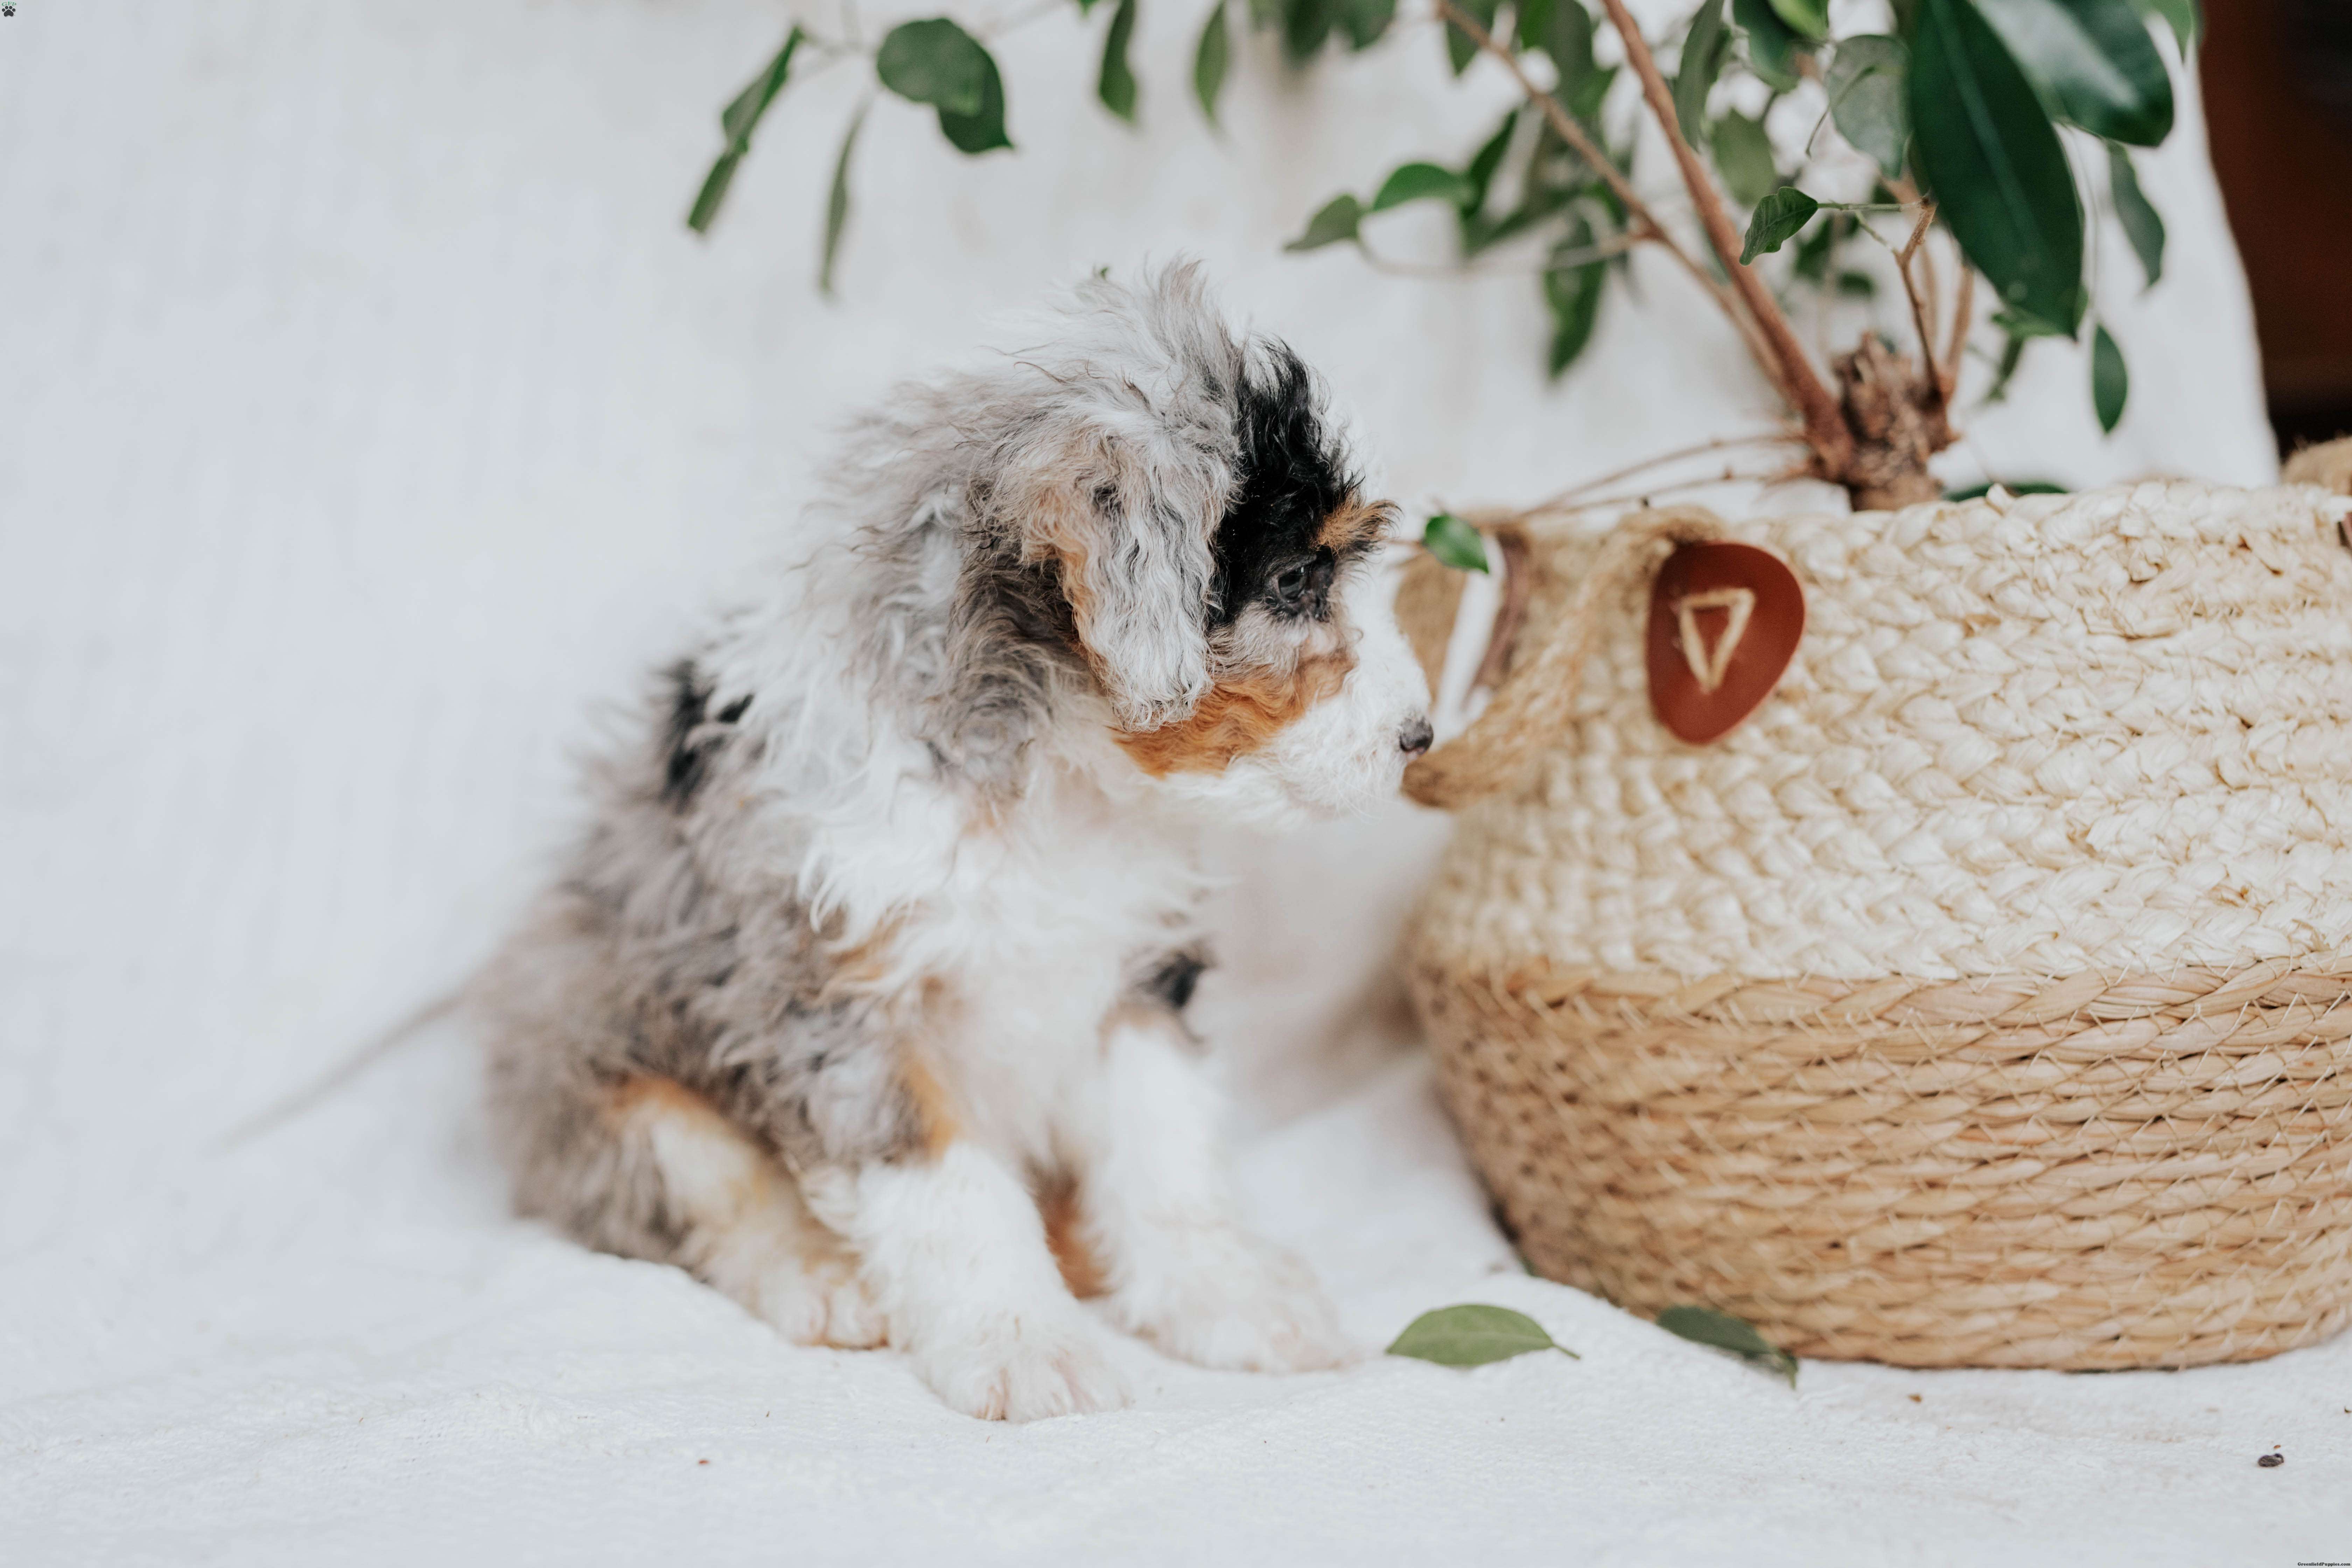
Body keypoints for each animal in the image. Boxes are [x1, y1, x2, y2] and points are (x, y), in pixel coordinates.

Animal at [475, 264, 1433, 1421]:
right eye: (1297, 581)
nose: (1421, 737)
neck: (1048, 786)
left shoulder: (1135, 974)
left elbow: (1165, 1148)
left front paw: (1231, 1295)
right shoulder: (839, 998)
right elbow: (946, 1186)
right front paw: (1024, 1342)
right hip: (595, 1065)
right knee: (710, 1188)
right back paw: (823, 1277)